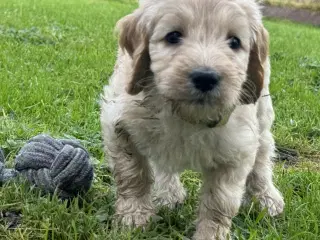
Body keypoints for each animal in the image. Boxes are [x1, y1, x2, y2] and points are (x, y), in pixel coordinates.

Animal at [100, 0, 284, 238]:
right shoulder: (118, 122)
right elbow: (132, 174)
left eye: (234, 41)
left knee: (263, 155)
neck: (185, 115)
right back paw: (169, 192)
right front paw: (134, 217)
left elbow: (220, 202)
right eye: (173, 36)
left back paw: (266, 197)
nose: (206, 77)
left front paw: (211, 234)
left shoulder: (237, 149)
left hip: (262, 114)